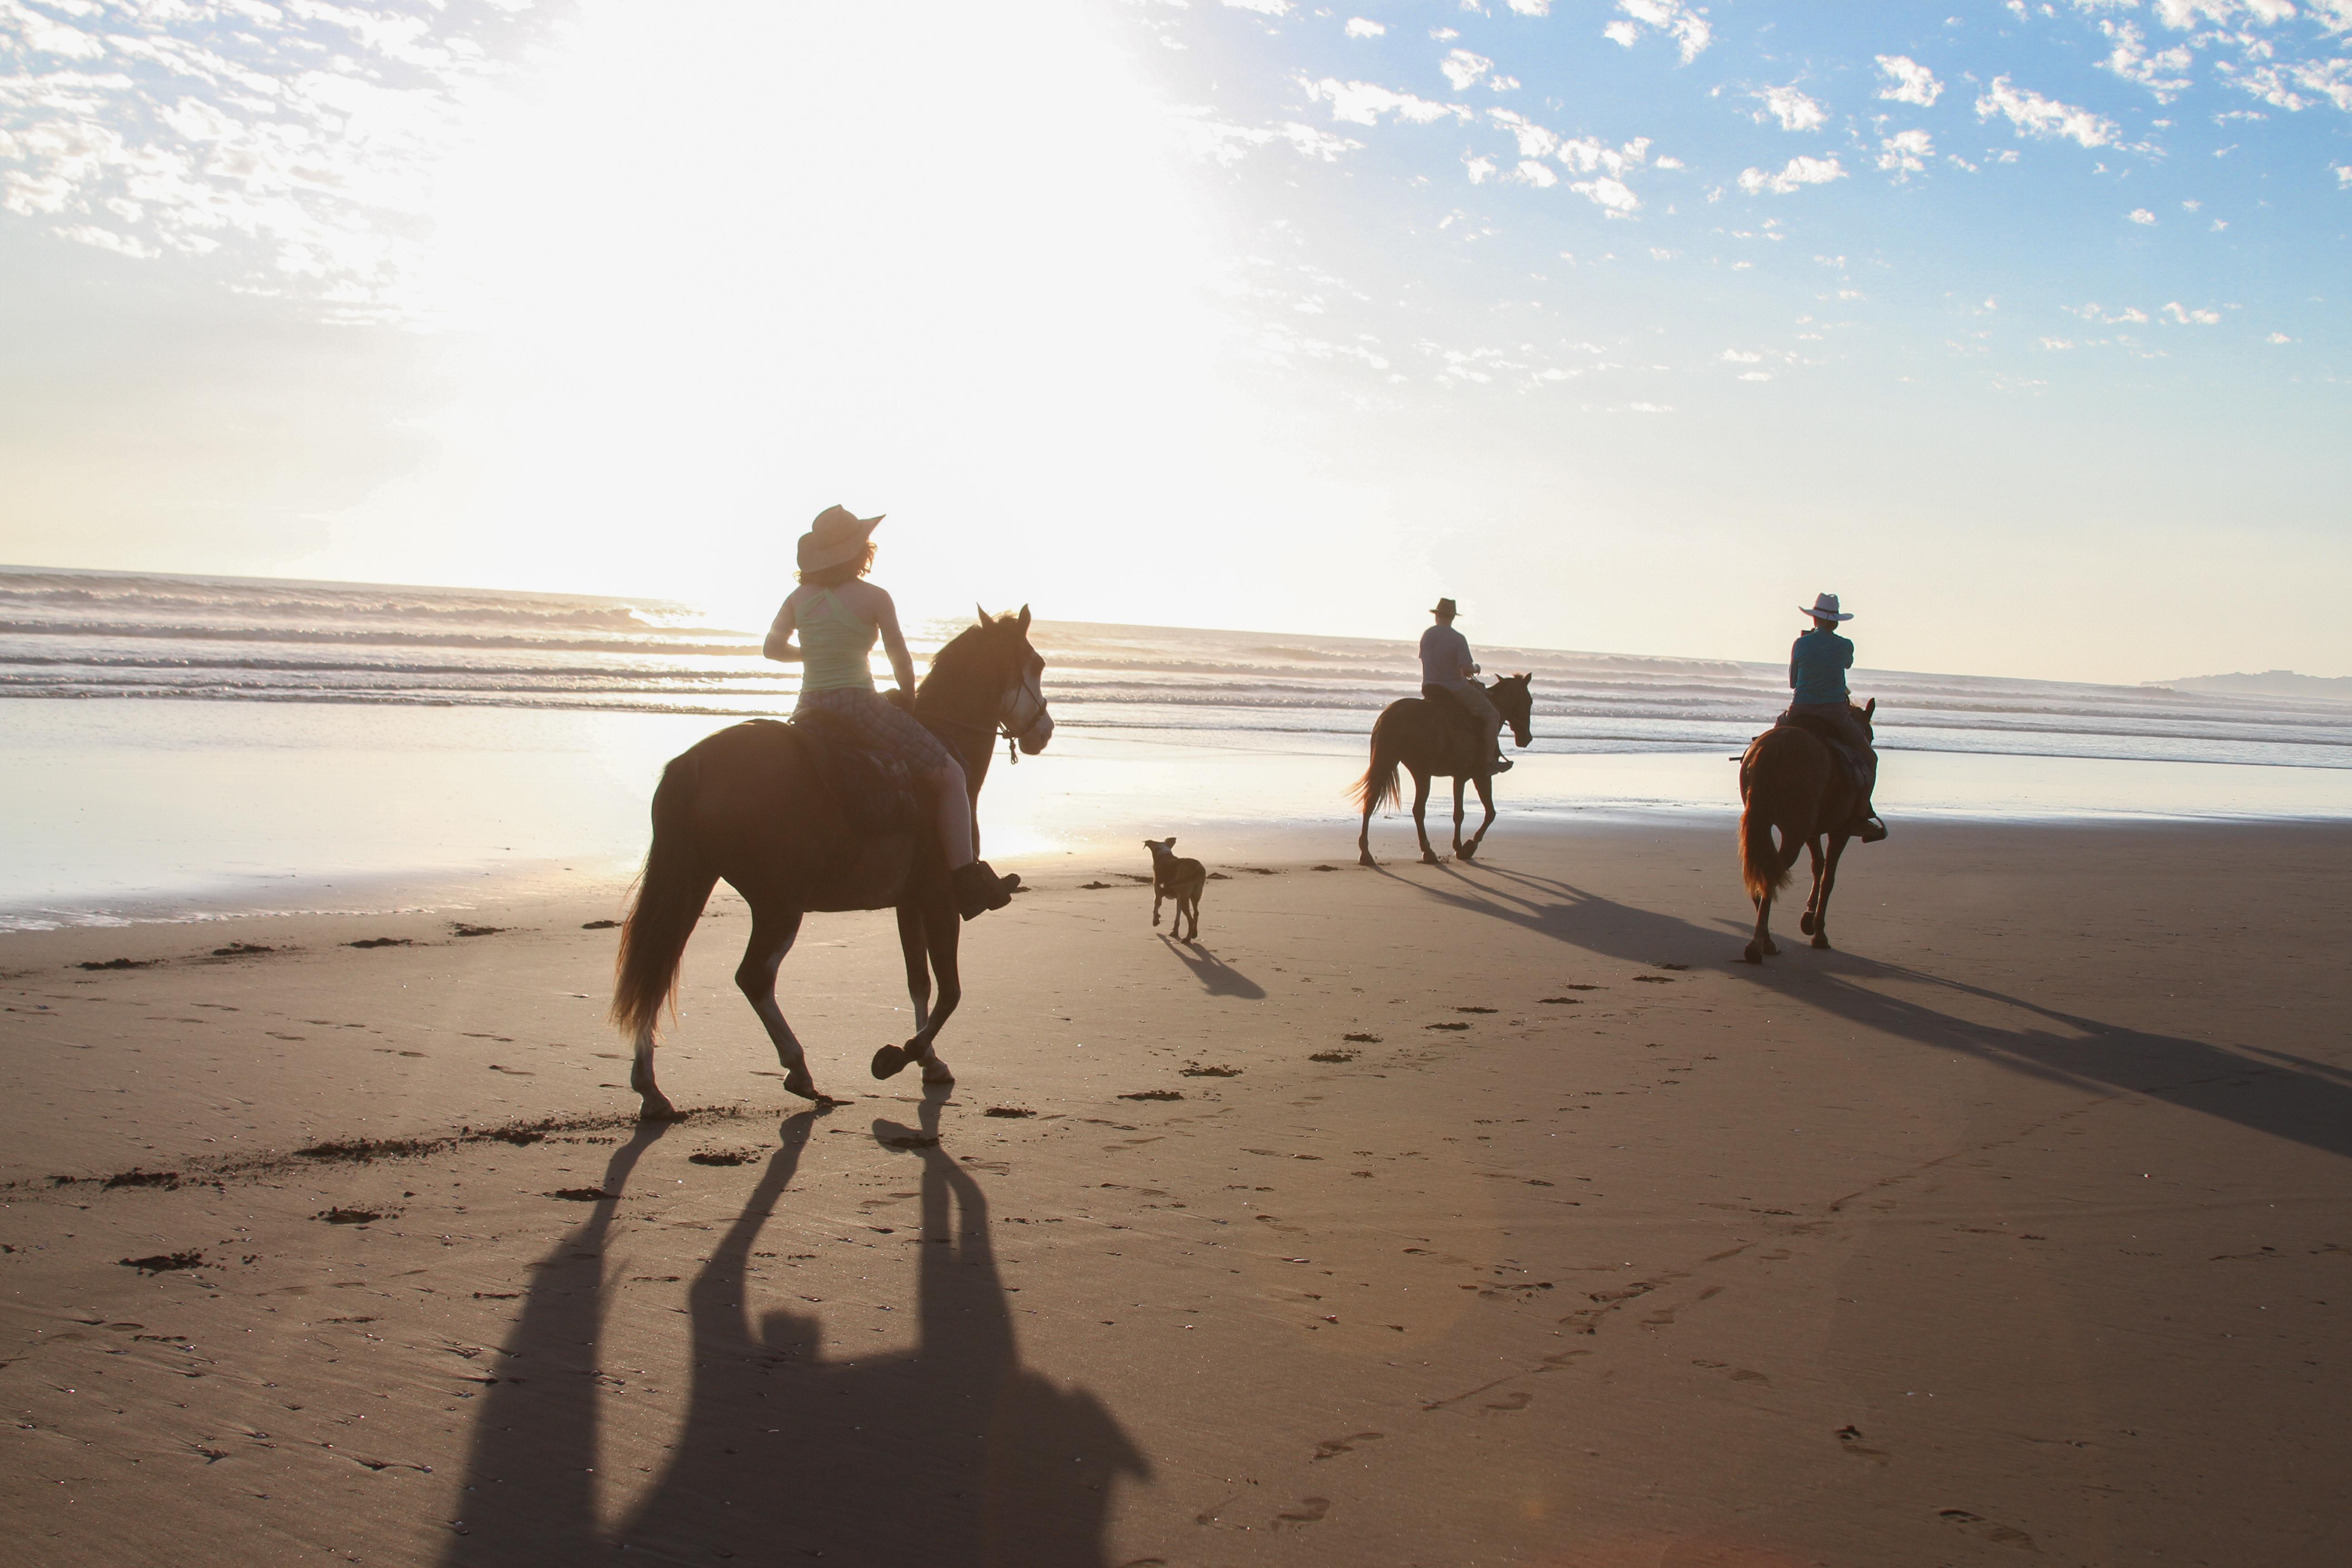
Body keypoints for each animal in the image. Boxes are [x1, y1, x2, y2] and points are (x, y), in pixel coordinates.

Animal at [611, 606, 1054, 1123]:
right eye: (1037, 664)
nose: (1045, 731)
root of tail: (697, 762)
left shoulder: (909, 903)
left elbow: (919, 983)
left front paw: (928, 1059)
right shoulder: (941, 898)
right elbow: (950, 991)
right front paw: (900, 1056)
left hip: (692, 882)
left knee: (657, 969)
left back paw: (651, 1088)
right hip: (779, 903)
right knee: (753, 977)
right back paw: (799, 1072)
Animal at [1143, 841, 1213, 940]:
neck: (1164, 854)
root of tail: (1198, 867)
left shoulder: (1158, 892)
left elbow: (1156, 907)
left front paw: (1156, 921)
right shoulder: (1179, 899)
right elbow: (1178, 915)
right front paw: (1175, 932)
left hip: (1184, 896)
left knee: (1191, 920)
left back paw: (1187, 939)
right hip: (1195, 895)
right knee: (1196, 913)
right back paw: (1194, 934)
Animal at [1354, 677, 1533, 870]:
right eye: (1529, 701)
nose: (1527, 738)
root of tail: (1392, 715)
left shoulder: (1459, 778)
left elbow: (1459, 814)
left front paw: (1460, 847)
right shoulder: (1480, 776)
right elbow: (1487, 813)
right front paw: (1468, 847)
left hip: (1388, 762)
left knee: (1371, 802)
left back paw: (1366, 854)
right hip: (1422, 772)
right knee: (1418, 810)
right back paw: (1428, 852)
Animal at [1731, 701, 1872, 968]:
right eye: (1870, 734)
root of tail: (1775, 748)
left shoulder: (1812, 832)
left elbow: (1818, 866)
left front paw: (1809, 919)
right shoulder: (1841, 831)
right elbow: (1828, 877)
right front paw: (1819, 932)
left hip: (1770, 825)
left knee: (1763, 870)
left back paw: (1764, 938)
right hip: (1794, 832)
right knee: (1772, 872)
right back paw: (1758, 944)